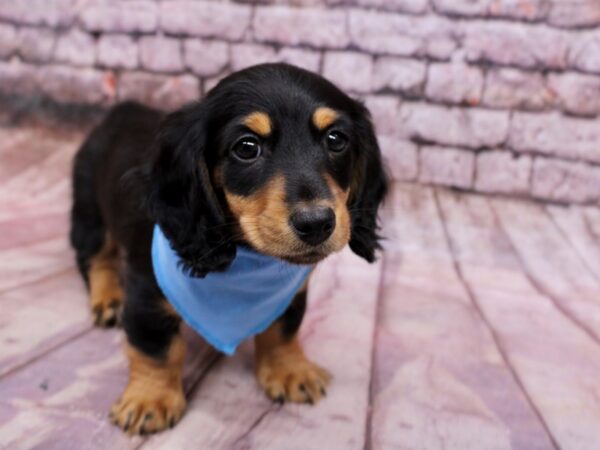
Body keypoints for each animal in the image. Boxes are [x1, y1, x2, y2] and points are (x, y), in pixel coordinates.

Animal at [70, 63, 390, 436]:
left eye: (336, 139)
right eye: (247, 147)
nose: (316, 224)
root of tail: (121, 111)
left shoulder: (292, 294)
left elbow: (283, 330)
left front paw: (290, 370)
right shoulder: (145, 293)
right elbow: (156, 348)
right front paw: (150, 399)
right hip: (88, 211)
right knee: (95, 258)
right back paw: (107, 298)